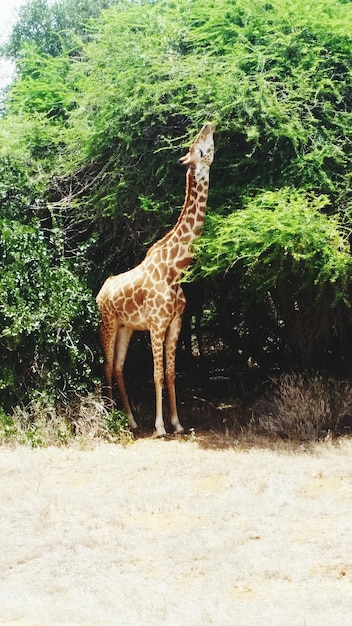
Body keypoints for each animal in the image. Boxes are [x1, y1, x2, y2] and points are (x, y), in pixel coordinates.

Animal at [96, 122, 214, 434]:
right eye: (197, 147)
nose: (209, 124)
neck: (175, 268)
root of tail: (100, 293)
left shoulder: (175, 323)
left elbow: (171, 373)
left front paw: (178, 424)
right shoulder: (156, 324)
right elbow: (157, 373)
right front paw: (160, 427)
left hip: (126, 327)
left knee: (118, 368)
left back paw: (132, 420)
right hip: (108, 324)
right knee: (106, 366)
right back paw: (110, 418)